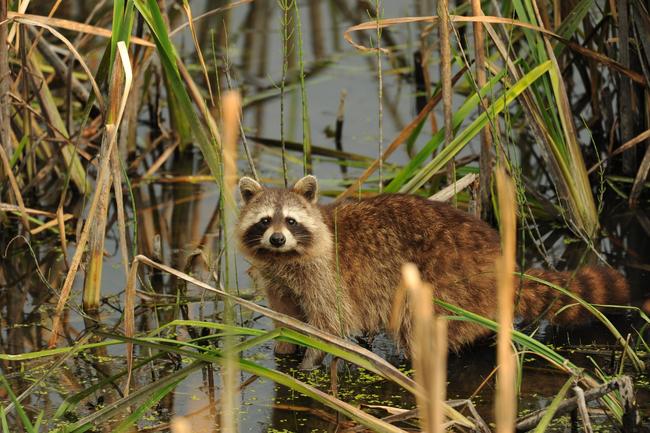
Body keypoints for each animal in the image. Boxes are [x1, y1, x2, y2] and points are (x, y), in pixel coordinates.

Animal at [234, 174, 628, 366]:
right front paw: (286, 345)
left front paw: (311, 360)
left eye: (291, 220)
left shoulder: (325, 274)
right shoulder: (279, 281)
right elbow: (287, 315)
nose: (277, 239)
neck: (286, 258)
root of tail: (497, 259)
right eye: (265, 221)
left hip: (446, 285)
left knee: (418, 328)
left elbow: (332, 323)